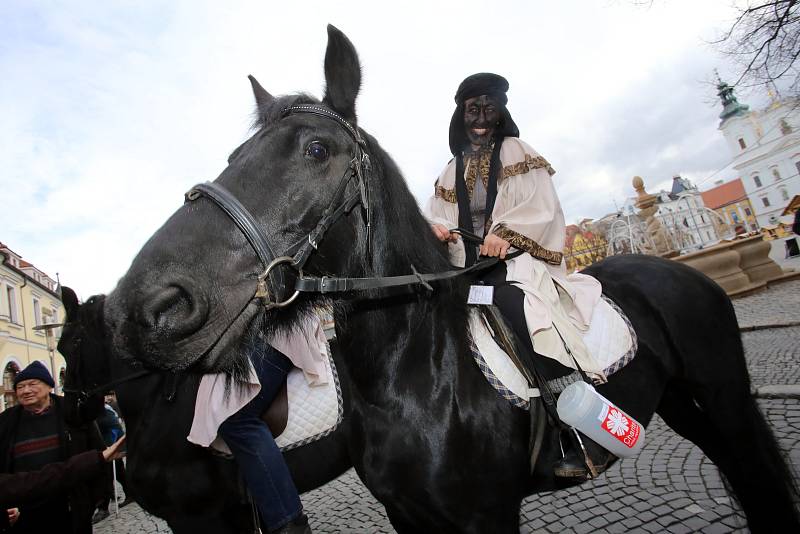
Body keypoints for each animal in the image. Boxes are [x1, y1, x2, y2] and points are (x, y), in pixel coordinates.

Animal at [65, 26, 796, 534]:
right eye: (232, 156)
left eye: (316, 149)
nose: (145, 306)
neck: (413, 373)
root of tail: (672, 272)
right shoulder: (407, 515)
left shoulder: (485, 517)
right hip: (682, 405)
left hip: (727, 405)